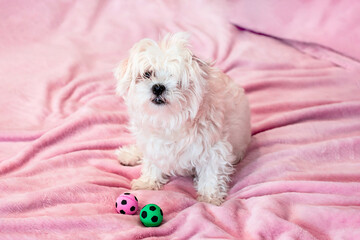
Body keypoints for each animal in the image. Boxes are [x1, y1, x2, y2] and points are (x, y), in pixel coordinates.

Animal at [115, 31, 250, 204]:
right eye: (147, 74)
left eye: (176, 78)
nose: (158, 87)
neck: (170, 120)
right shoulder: (153, 143)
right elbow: (152, 163)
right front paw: (148, 182)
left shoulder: (215, 149)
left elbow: (211, 173)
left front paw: (209, 197)